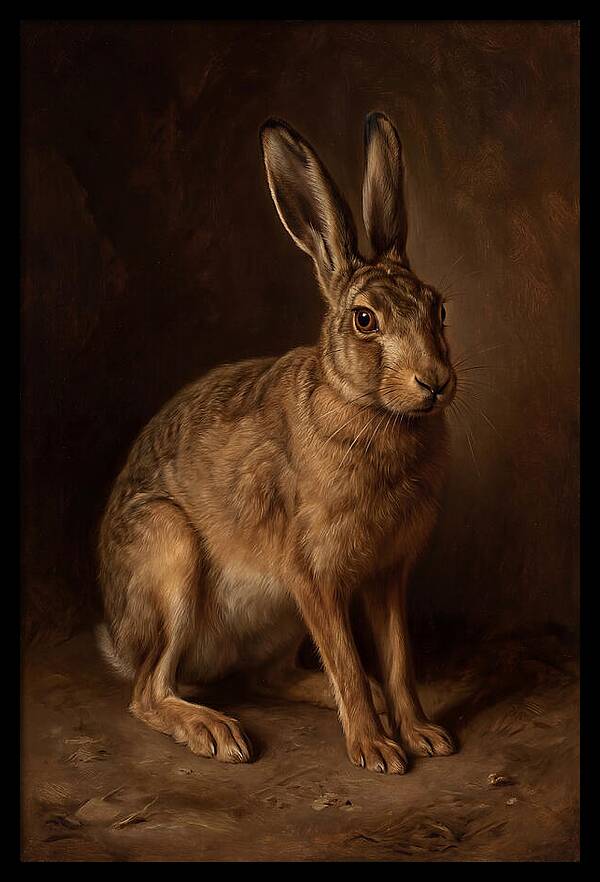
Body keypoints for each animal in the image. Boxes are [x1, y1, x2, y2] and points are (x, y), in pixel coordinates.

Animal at [97, 111, 457, 774]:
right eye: (364, 320)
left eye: (439, 309)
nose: (435, 382)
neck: (370, 410)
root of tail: (118, 634)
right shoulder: (311, 573)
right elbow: (346, 659)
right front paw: (377, 751)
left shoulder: (387, 575)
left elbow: (397, 661)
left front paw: (422, 734)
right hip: (169, 553)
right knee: (148, 691)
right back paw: (215, 731)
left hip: (278, 620)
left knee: (269, 678)